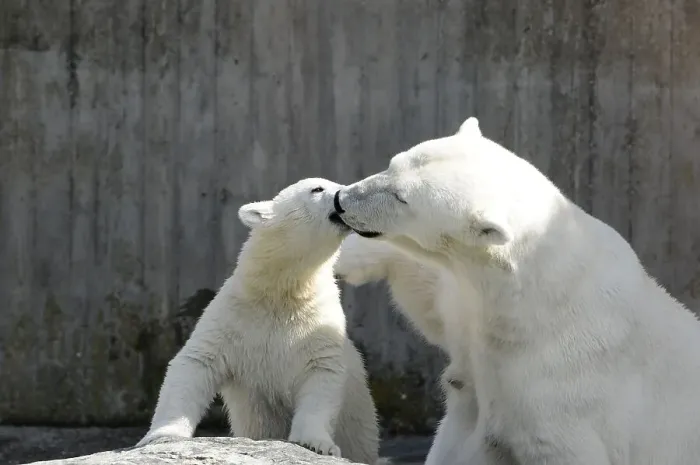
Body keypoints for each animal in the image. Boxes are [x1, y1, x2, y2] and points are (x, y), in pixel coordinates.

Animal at [136, 178, 380, 465]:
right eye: (318, 188)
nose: (348, 193)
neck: (280, 292)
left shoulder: (319, 322)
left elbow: (322, 371)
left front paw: (317, 444)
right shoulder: (233, 314)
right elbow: (197, 362)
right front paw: (161, 436)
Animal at [330, 116, 700, 465]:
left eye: (402, 199)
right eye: (392, 164)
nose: (341, 200)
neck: (533, 300)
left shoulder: (559, 391)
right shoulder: (474, 316)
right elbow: (429, 298)